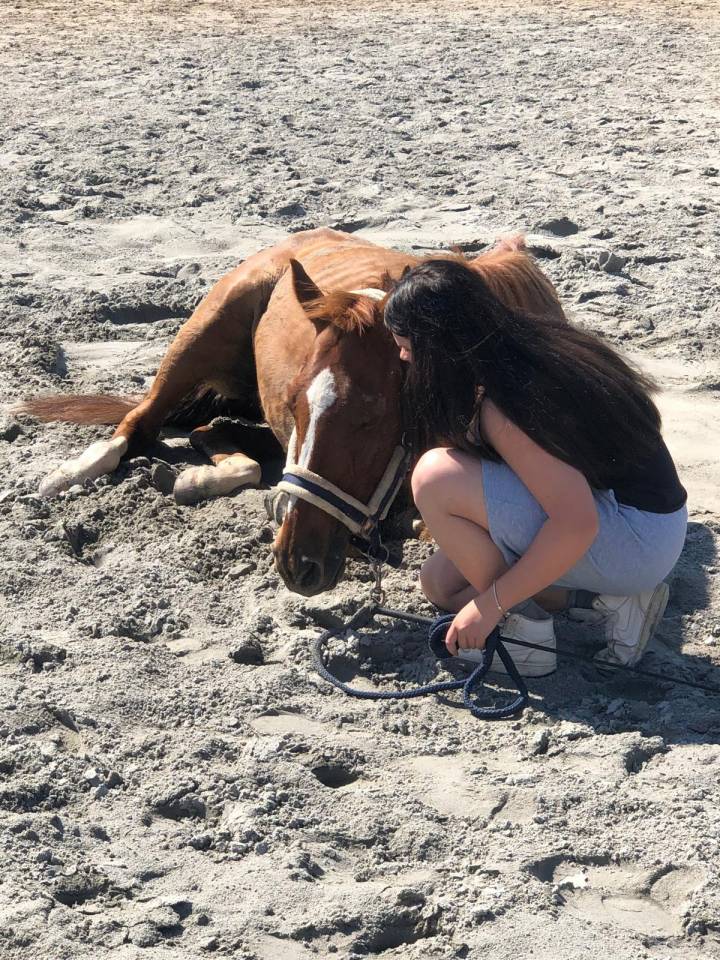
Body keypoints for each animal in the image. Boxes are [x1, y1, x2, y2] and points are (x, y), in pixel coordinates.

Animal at [19, 227, 565, 596]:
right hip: (202, 332)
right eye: (295, 401)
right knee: (141, 422)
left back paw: (202, 476)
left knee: (210, 433)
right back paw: (73, 472)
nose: (294, 562)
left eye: (374, 416)